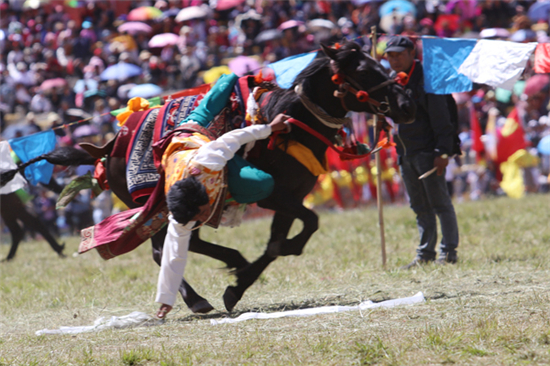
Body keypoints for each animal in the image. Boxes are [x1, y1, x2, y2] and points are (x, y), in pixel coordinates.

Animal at [0, 42, 414, 312]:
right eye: (363, 70)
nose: (405, 103)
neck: (292, 125)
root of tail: (108, 148)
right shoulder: (274, 196)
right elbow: (303, 227)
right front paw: (241, 281)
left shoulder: (290, 199)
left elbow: (280, 243)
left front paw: (240, 284)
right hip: (158, 205)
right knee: (161, 249)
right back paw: (200, 296)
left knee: (182, 243)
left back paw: (230, 264)